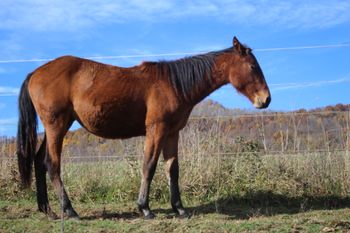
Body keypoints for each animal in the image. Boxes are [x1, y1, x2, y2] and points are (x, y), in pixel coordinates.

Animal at [16, 36, 270, 218]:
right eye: (252, 66)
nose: (266, 100)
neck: (174, 84)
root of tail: (35, 73)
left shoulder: (172, 133)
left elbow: (172, 170)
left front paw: (179, 208)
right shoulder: (156, 130)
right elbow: (149, 166)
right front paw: (145, 208)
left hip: (57, 127)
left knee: (39, 161)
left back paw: (47, 210)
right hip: (57, 126)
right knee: (52, 164)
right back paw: (69, 210)